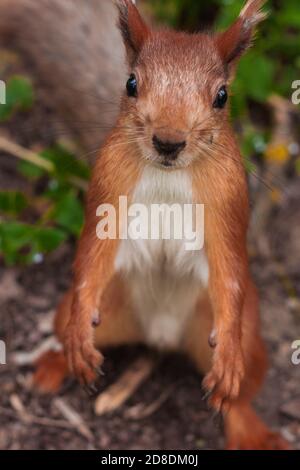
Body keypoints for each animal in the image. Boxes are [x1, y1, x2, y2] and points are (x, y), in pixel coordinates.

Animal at [33, 0, 290, 450]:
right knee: (65, 325)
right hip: (109, 308)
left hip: (244, 340)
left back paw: (251, 428)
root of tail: (161, 335)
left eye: (222, 96)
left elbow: (230, 270)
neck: (168, 173)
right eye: (131, 83)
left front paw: (227, 356)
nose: (169, 141)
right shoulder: (108, 189)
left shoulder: (227, 204)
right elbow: (92, 257)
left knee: (241, 397)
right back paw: (55, 363)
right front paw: (79, 335)